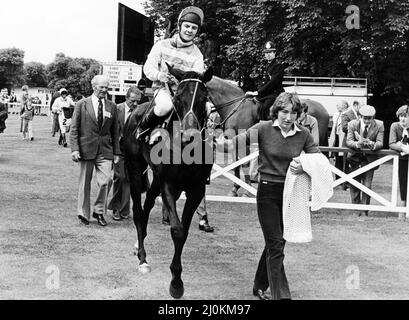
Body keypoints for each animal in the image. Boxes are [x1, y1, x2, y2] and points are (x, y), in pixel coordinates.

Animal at [122, 65, 214, 300]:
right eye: (177, 99)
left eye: (204, 98)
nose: (190, 135)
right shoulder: (169, 186)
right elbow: (178, 230)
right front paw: (176, 282)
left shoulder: (196, 190)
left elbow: (185, 231)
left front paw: (177, 279)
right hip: (134, 171)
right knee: (138, 211)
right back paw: (142, 258)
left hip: (155, 182)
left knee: (146, 206)